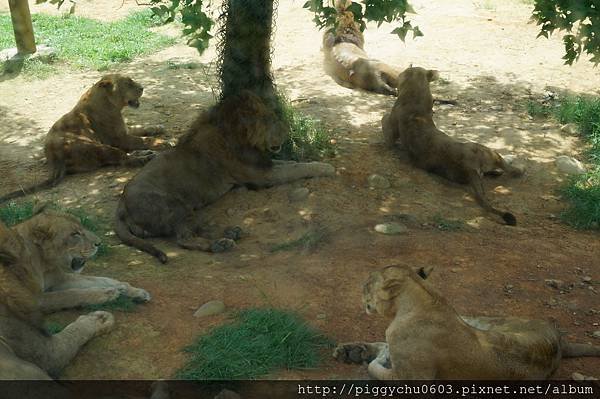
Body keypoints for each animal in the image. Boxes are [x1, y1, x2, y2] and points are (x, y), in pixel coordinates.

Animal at [1, 74, 166, 205]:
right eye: (128, 83)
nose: (142, 88)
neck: (108, 102)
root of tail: (55, 159)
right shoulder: (119, 138)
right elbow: (143, 140)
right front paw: (162, 142)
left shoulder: (123, 131)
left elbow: (141, 128)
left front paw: (158, 128)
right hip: (95, 145)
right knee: (123, 158)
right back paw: (147, 157)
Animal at [115, 92, 336, 264]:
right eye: (270, 119)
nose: (288, 132)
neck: (239, 136)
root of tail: (120, 205)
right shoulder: (261, 176)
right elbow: (298, 168)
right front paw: (328, 167)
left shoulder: (264, 167)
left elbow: (291, 163)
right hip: (173, 206)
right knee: (184, 238)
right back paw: (220, 244)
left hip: (185, 210)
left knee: (198, 227)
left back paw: (232, 233)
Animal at [332, 266, 600, 382]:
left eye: (367, 284)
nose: (360, 287)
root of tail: (559, 338)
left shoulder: (412, 378)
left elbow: (374, 369)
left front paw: (376, 362)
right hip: (477, 322)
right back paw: (351, 351)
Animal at [382, 67, 524, 227]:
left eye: (403, 72)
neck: (416, 95)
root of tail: (470, 168)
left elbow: (383, 119)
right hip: (485, 152)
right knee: (509, 169)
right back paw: (512, 167)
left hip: (484, 152)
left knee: (508, 169)